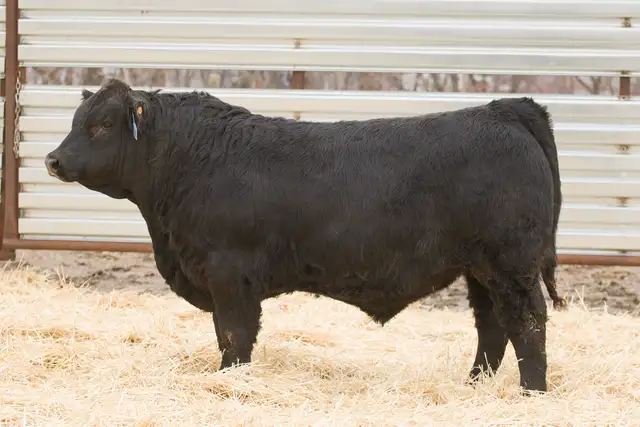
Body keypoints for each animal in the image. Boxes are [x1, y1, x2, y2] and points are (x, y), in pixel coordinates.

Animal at [45, 78, 566, 394]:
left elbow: (234, 336)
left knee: (528, 324)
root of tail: (503, 110)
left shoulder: (230, 276)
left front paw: (232, 383)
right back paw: (473, 386)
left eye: (103, 124)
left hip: (511, 265)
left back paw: (531, 393)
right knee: (491, 327)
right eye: (76, 121)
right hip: (479, 269)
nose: (52, 159)